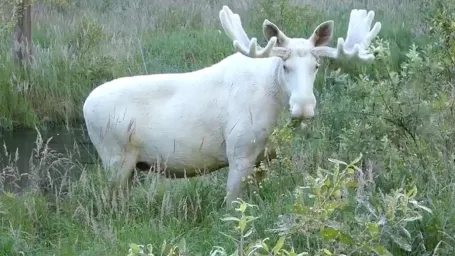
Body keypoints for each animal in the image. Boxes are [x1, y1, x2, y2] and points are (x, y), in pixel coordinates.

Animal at [82, 5, 382, 206]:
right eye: (285, 65)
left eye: (316, 66)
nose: (304, 106)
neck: (274, 111)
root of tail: (85, 105)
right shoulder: (238, 153)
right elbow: (232, 203)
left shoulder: (265, 159)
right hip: (114, 158)